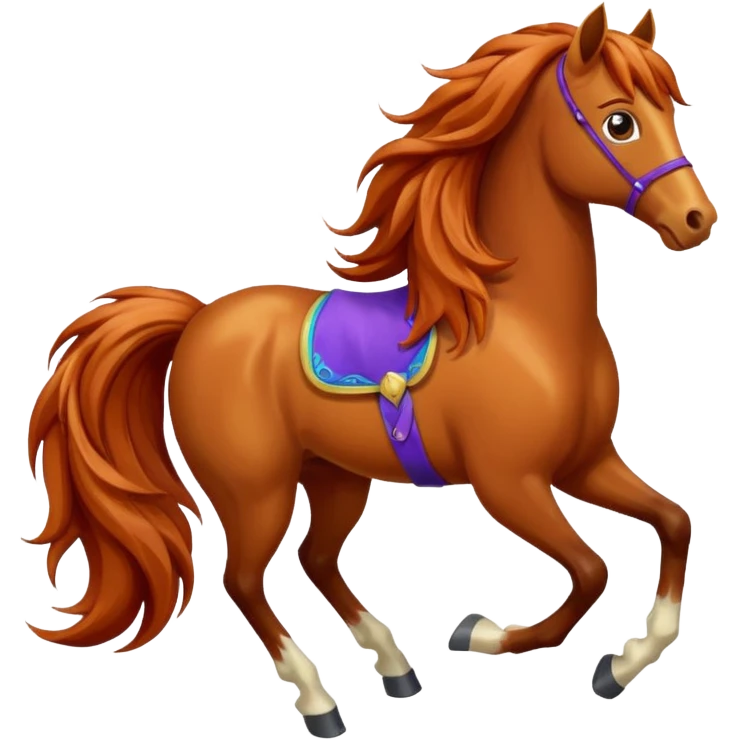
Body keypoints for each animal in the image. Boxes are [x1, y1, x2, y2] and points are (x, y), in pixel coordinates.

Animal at [24, 4, 716, 736]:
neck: (524, 325)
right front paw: (479, 633)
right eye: (620, 122)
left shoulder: (584, 461)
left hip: (334, 477)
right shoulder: (510, 483)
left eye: (671, 111)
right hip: (256, 490)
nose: (697, 220)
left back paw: (395, 667)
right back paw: (320, 701)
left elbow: (674, 522)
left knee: (315, 558)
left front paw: (625, 662)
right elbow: (589, 572)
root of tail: (198, 320)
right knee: (243, 579)